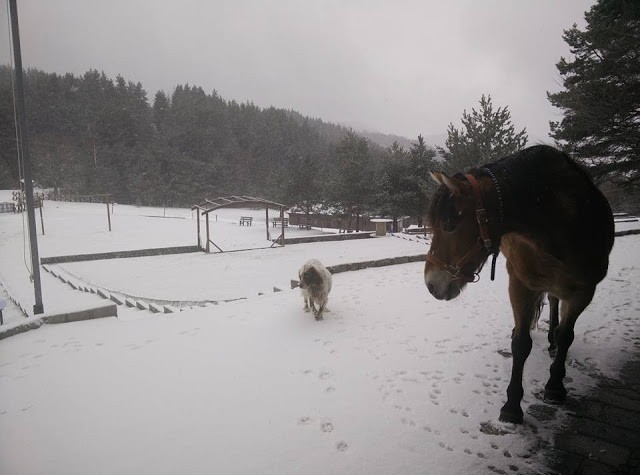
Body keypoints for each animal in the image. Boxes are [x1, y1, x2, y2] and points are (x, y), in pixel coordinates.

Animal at [424, 145, 616, 424]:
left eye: (450, 224)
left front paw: (555, 386)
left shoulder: (584, 291)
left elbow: (566, 335)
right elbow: (521, 344)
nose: (430, 284)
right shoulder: (520, 284)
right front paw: (512, 405)